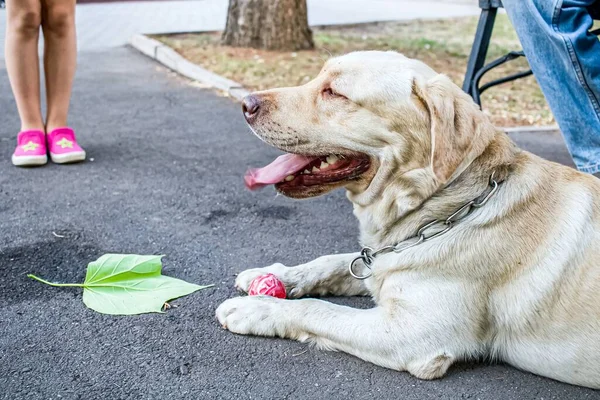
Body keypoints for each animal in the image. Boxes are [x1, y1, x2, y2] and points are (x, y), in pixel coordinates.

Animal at [217, 50, 600, 388]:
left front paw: (257, 309)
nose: (246, 104)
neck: (451, 207)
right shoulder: (381, 261)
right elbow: (330, 262)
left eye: (335, 92)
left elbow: (319, 310)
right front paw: (275, 275)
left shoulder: (416, 334)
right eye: (317, 78)